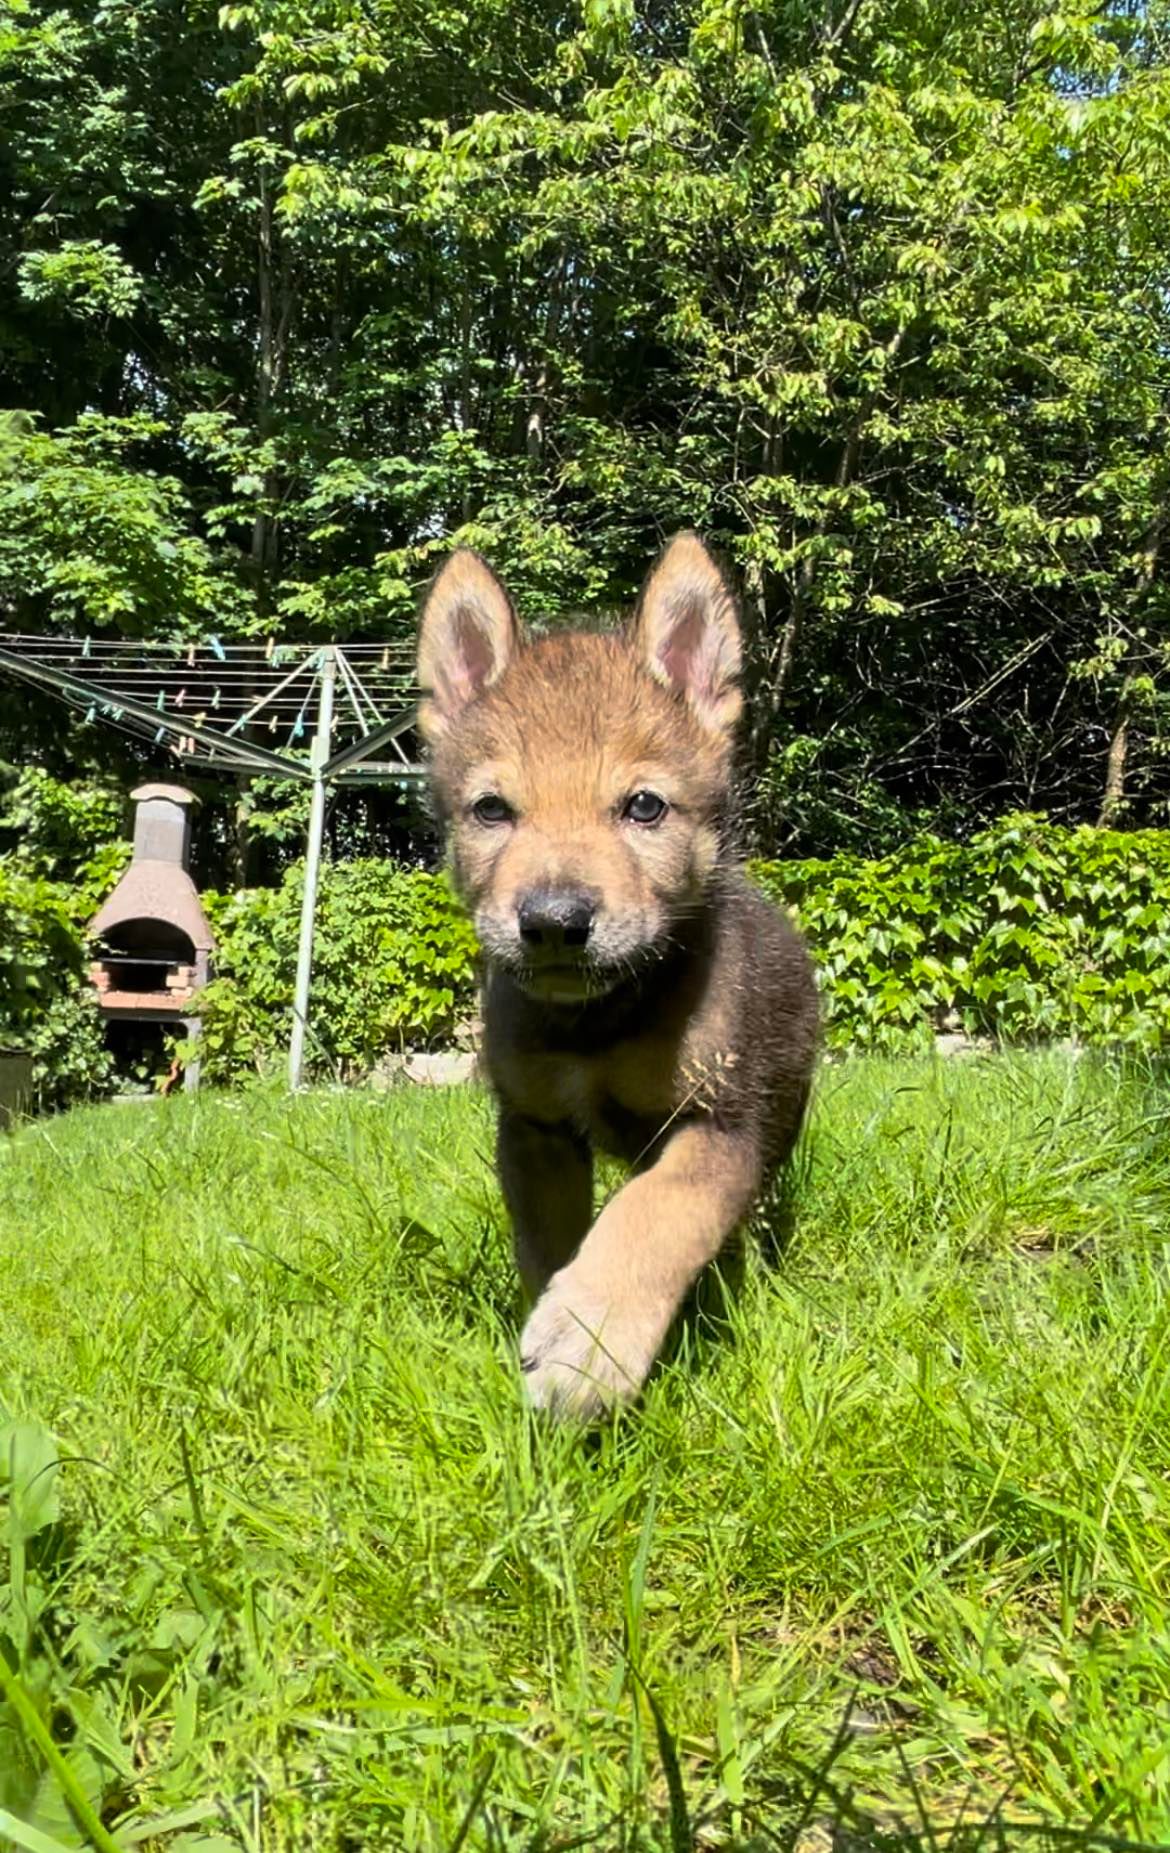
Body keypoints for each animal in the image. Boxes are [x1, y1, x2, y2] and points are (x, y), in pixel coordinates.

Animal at [416, 531, 819, 1421]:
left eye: (644, 807)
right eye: (492, 810)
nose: (554, 921)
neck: (594, 1025)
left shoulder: (718, 1123)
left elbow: (655, 1213)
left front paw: (590, 1339)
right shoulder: (535, 1129)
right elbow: (550, 1244)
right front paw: (555, 1317)